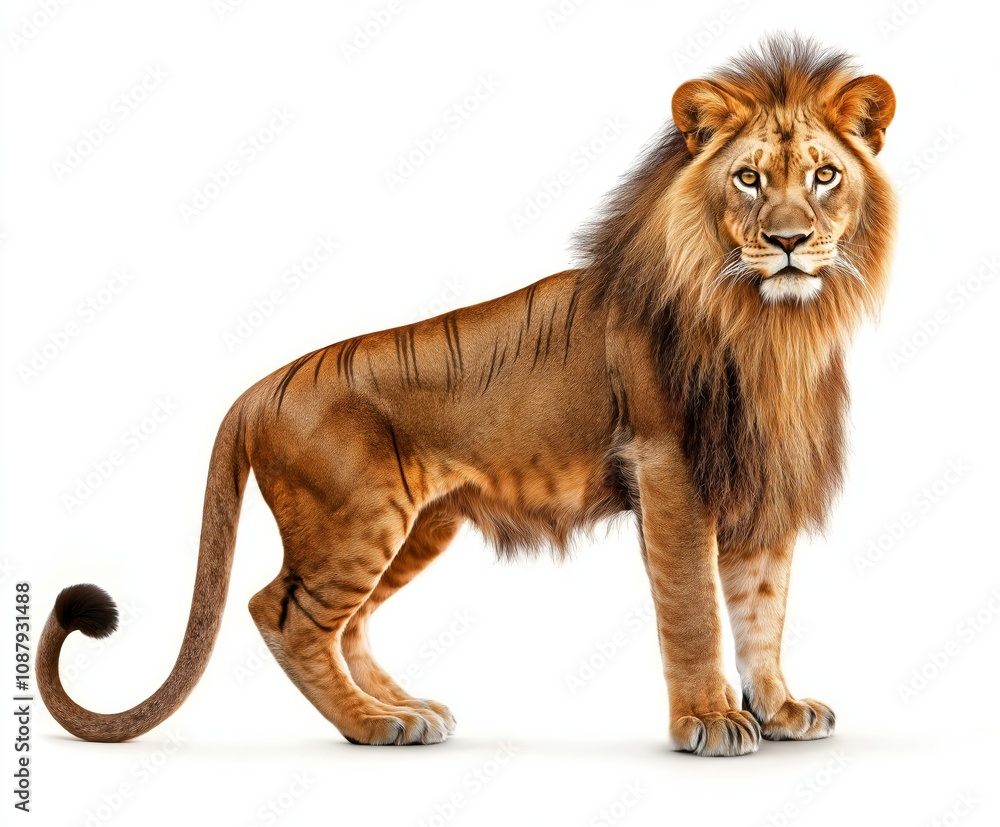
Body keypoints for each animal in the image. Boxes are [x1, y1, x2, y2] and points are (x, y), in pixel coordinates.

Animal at [37, 36, 895, 757]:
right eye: (748, 178)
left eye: (824, 175)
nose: (788, 241)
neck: (772, 324)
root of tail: (255, 389)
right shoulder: (670, 470)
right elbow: (694, 609)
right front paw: (710, 721)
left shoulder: (764, 477)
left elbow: (762, 606)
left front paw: (780, 709)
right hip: (356, 515)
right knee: (281, 612)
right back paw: (370, 724)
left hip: (418, 522)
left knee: (347, 622)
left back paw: (404, 709)